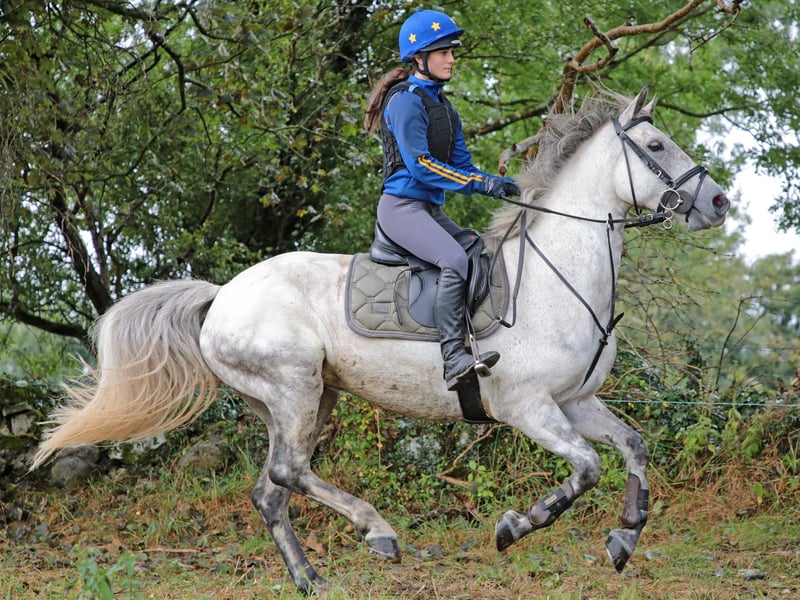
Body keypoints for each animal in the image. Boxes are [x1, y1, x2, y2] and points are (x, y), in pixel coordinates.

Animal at [33, 87, 730, 594]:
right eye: (656, 144)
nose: (719, 203)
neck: (554, 277)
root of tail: (221, 294)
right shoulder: (528, 406)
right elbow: (586, 468)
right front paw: (513, 527)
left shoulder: (576, 401)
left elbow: (635, 449)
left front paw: (624, 539)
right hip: (293, 386)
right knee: (288, 473)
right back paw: (378, 532)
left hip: (306, 399)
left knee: (271, 490)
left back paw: (312, 579)